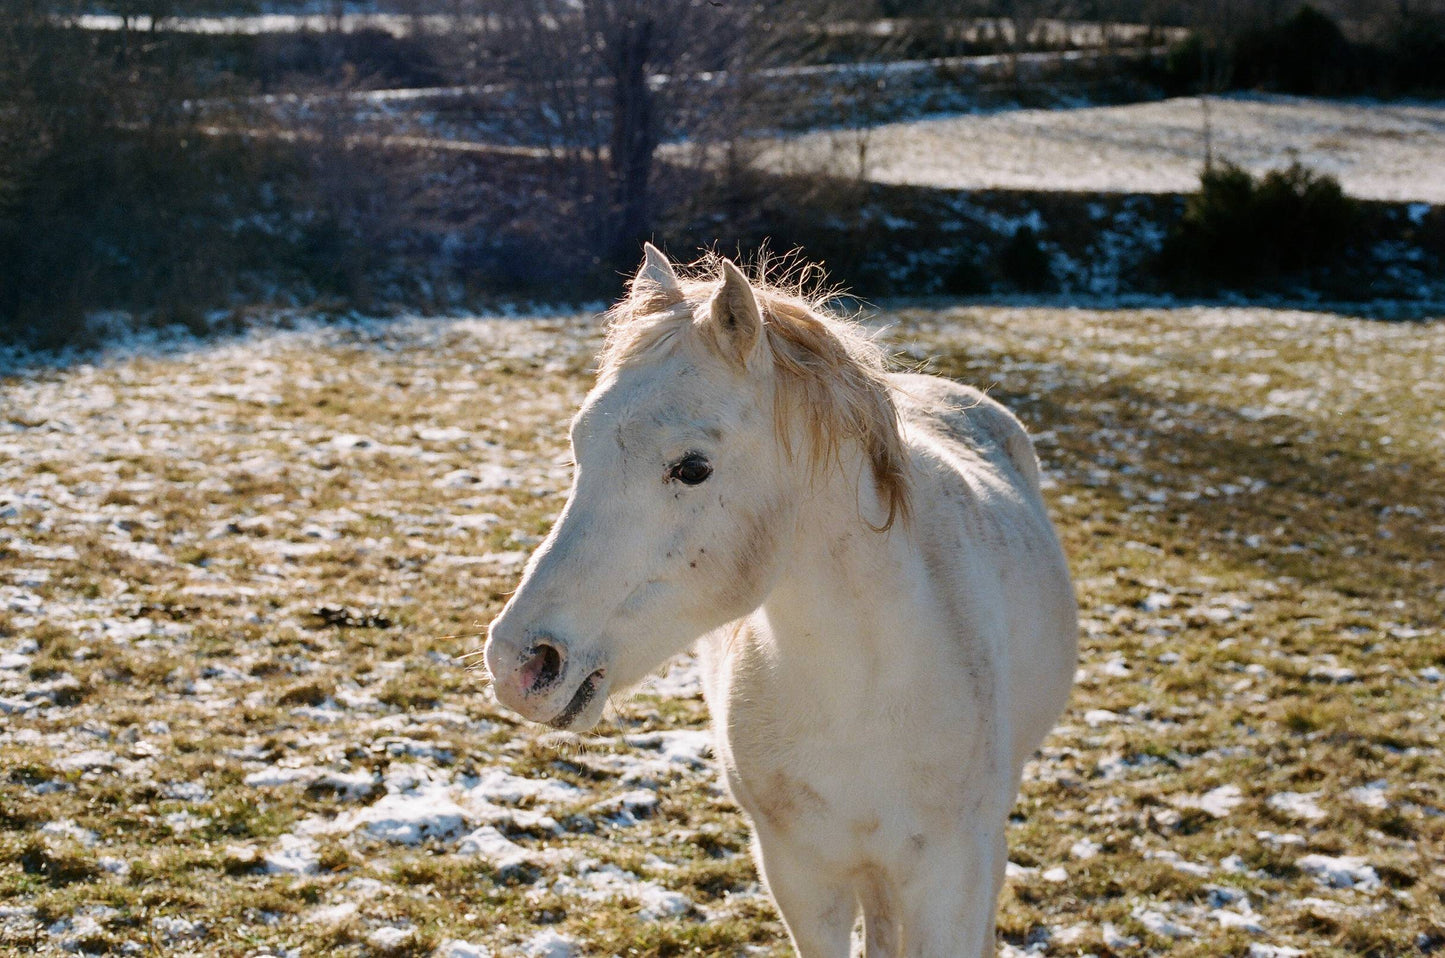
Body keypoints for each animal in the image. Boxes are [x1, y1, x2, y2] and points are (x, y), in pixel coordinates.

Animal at [485, 248, 1075, 958]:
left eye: (693, 468)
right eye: (579, 446)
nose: (520, 663)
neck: (864, 686)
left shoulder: (950, 881)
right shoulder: (800, 875)